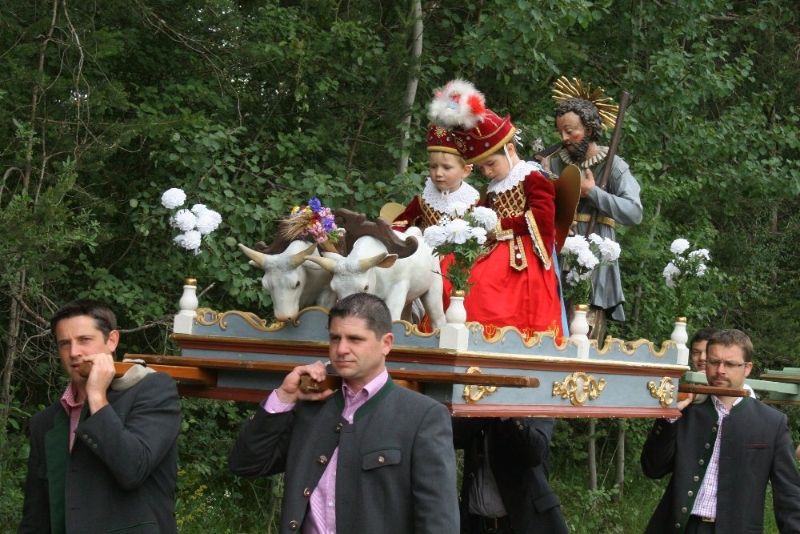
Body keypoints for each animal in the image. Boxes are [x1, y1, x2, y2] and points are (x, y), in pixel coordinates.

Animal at [304, 227, 446, 330]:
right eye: (334, 288)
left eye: (365, 287)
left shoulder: (398, 289)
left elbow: (394, 319)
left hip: (433, 290)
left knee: (437, 317)